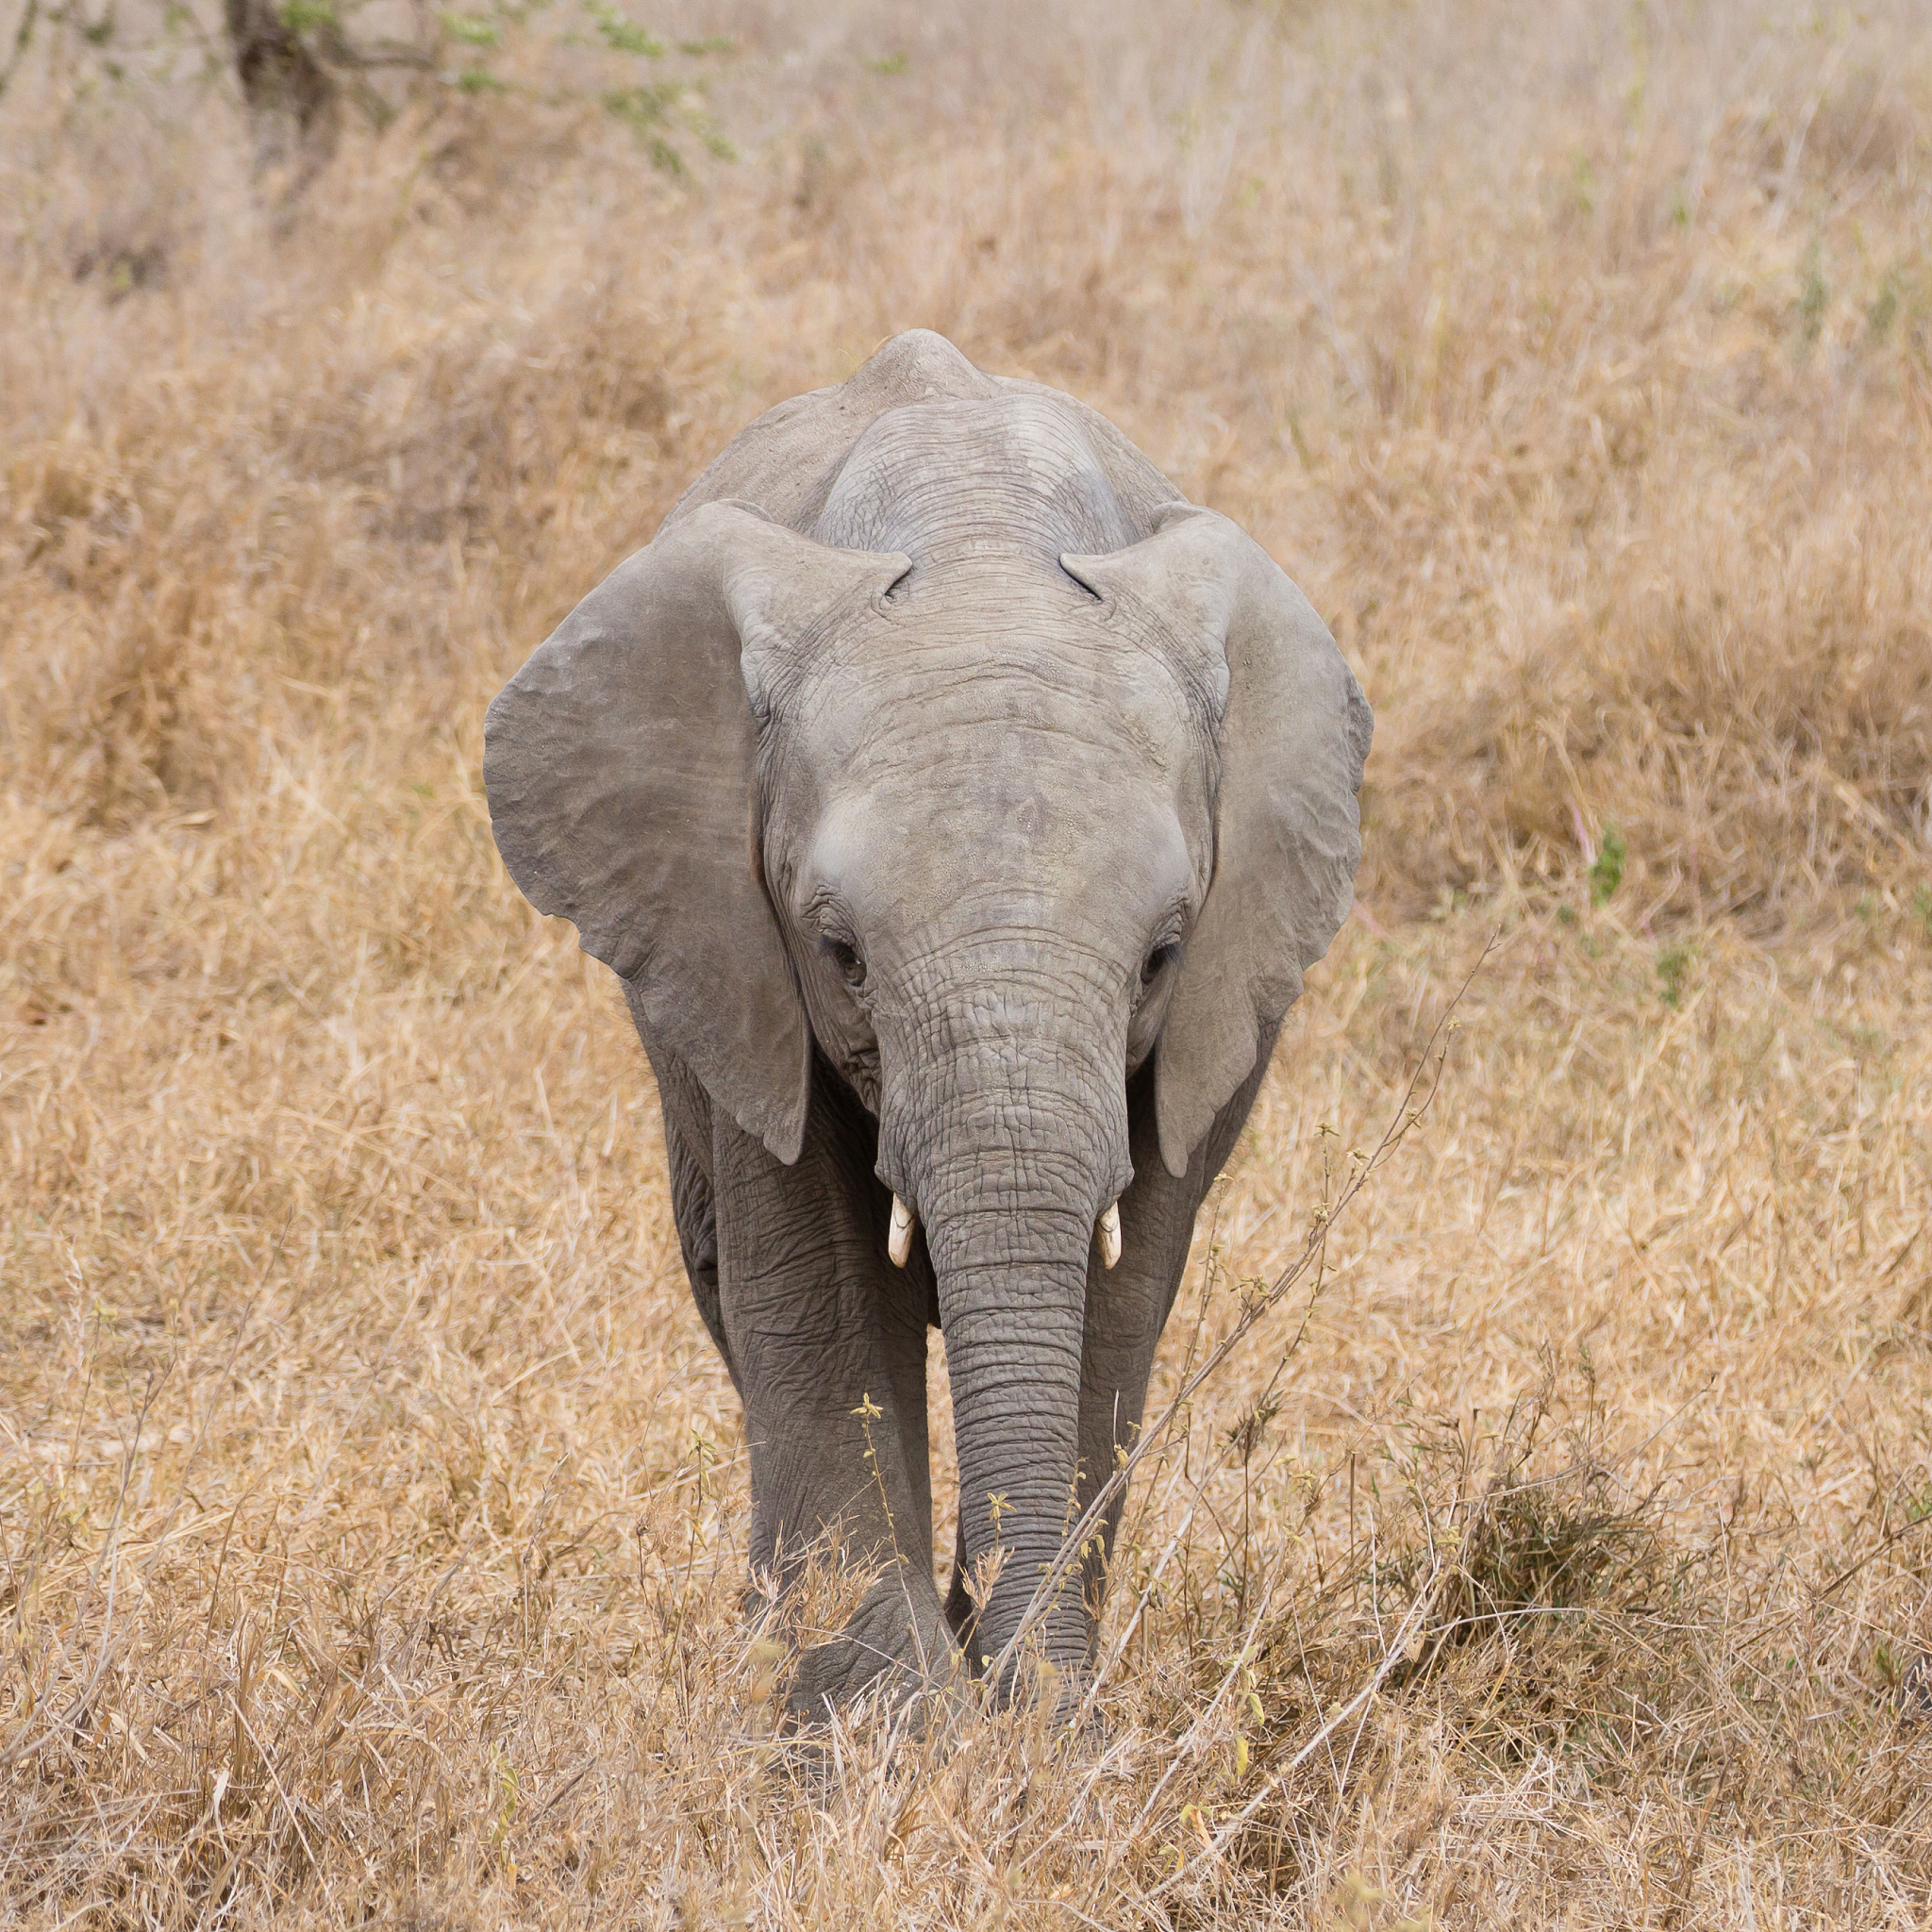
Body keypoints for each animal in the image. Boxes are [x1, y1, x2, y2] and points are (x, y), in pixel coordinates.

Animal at [484, 330, 1371, 1720]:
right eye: (842, 955)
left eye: (1164, 956)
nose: (1027, 1703)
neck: (980, 538)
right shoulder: (739, 968)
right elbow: (822, 1294)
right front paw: (888, 1733)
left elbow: (1115, 1309)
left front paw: (1042, 1722)